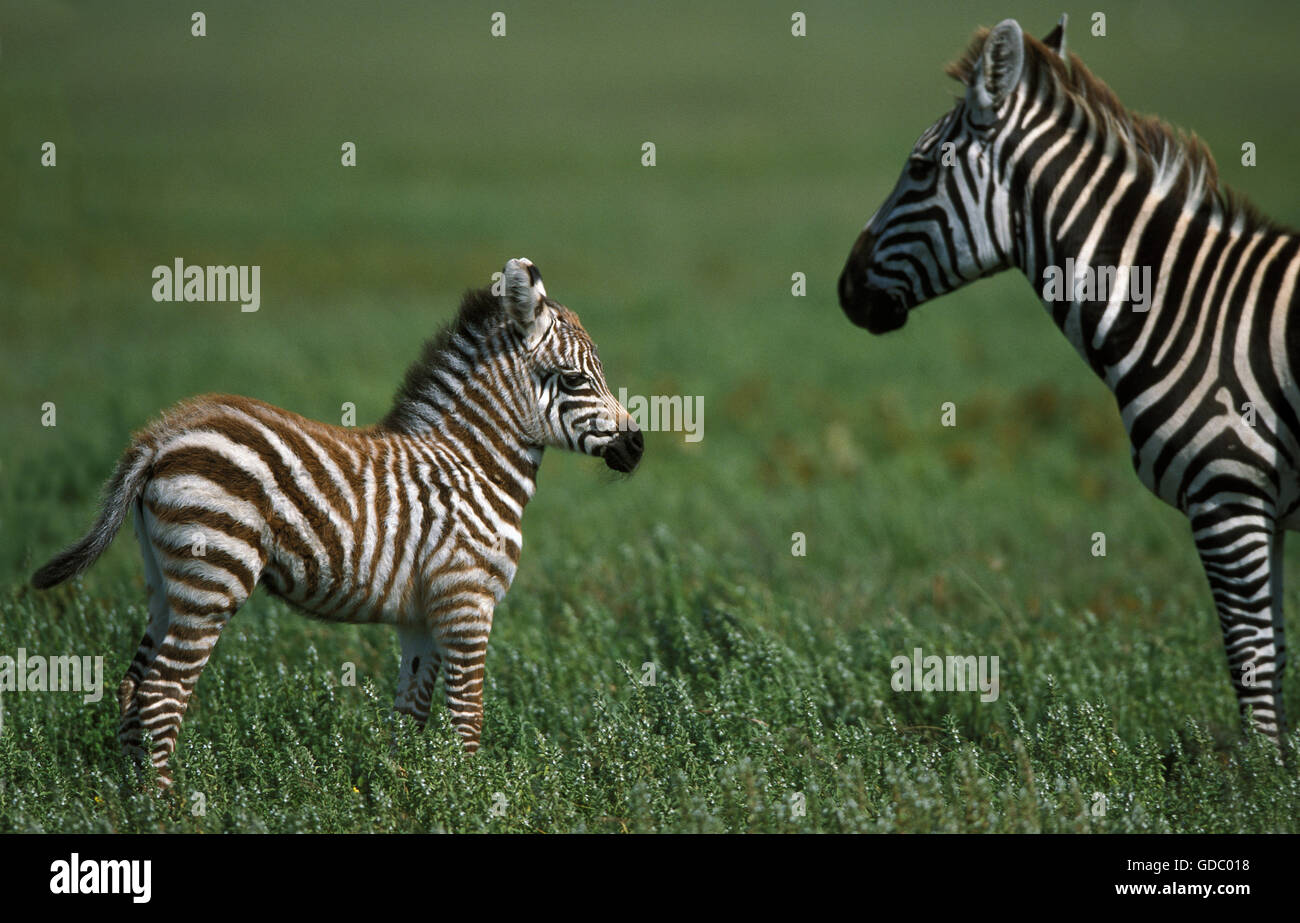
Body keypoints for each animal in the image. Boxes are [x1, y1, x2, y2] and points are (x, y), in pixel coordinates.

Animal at [29, 260, 639, 790]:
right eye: (574, 379)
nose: (637, 446)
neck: (473, 464)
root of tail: (161, 435)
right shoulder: (467, 599)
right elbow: (468, 716)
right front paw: (473, 797)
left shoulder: (421, 615)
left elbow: (410, 716)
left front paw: (409, 793)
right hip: (215, 573)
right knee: (161, 691)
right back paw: (167, 805)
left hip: (165, 581)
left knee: (133, 687)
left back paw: (133, 798)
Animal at [842, 16, 1300, 743]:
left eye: (918, 169)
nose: (844, 288)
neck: (1188, 308)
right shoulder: (1265, 505)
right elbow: (1275, 654)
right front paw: (1278, 765)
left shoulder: (1228, 495)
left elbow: (1249, 659)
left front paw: (1258, 772)